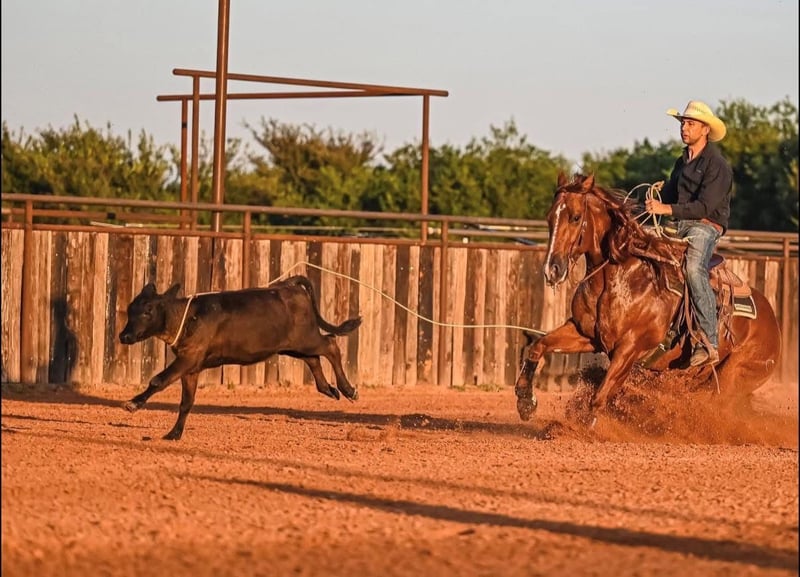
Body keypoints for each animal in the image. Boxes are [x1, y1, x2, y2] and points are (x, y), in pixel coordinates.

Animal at [514, 172, 782, 422]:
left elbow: (600, 395)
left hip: (731, 380)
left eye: (575, 217)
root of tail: (774, 325)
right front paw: (526, 401)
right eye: (550, 217)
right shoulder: (585, 334)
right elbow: (538, 346)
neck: (621, 278)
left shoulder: (629, 349)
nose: (552, 269)